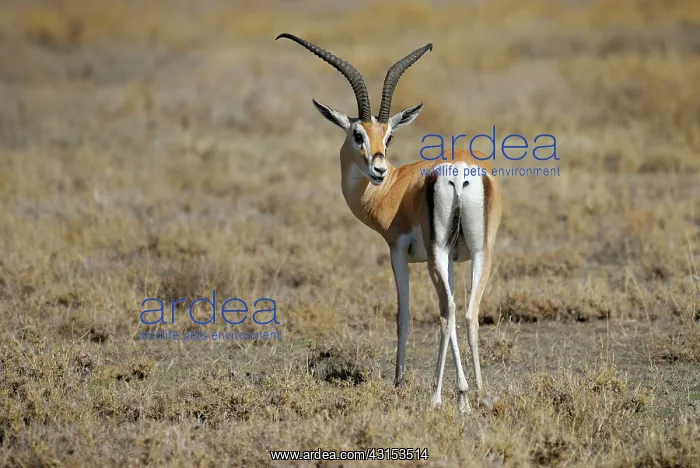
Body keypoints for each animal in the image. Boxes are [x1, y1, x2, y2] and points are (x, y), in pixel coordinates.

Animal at [276, 33, 502, 413]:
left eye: (389, 136)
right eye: (358, 134)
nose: (378, 169)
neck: (394, 188)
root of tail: (459, 172)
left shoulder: (398, 250)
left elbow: (403, 314)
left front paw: (400, 381)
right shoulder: (453, 260)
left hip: (438, 254)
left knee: (448, 311)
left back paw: (443, 397)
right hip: (480, 252)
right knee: (467, 311)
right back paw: (479, 394)